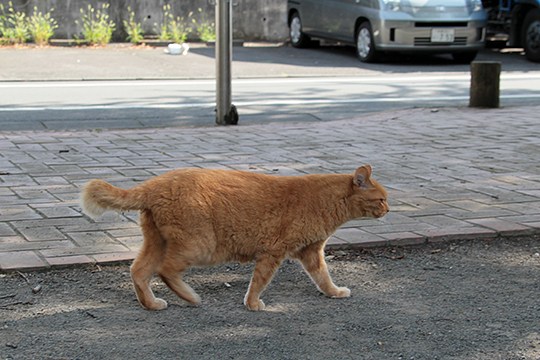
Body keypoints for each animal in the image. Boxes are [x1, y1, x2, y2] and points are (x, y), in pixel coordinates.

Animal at [80, 165, 388, 310]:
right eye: (382, 198)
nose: (388, 209)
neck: (325, 201)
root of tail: (154, 183)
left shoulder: (311, 253)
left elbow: (323, 277)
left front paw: (334, 293)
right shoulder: (273, 252)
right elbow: (259, 281)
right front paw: (252, 305)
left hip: (157, 241)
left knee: (139, 271)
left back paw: (152, 304)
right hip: (199, 246)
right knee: (166, 270)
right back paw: (190, 297)